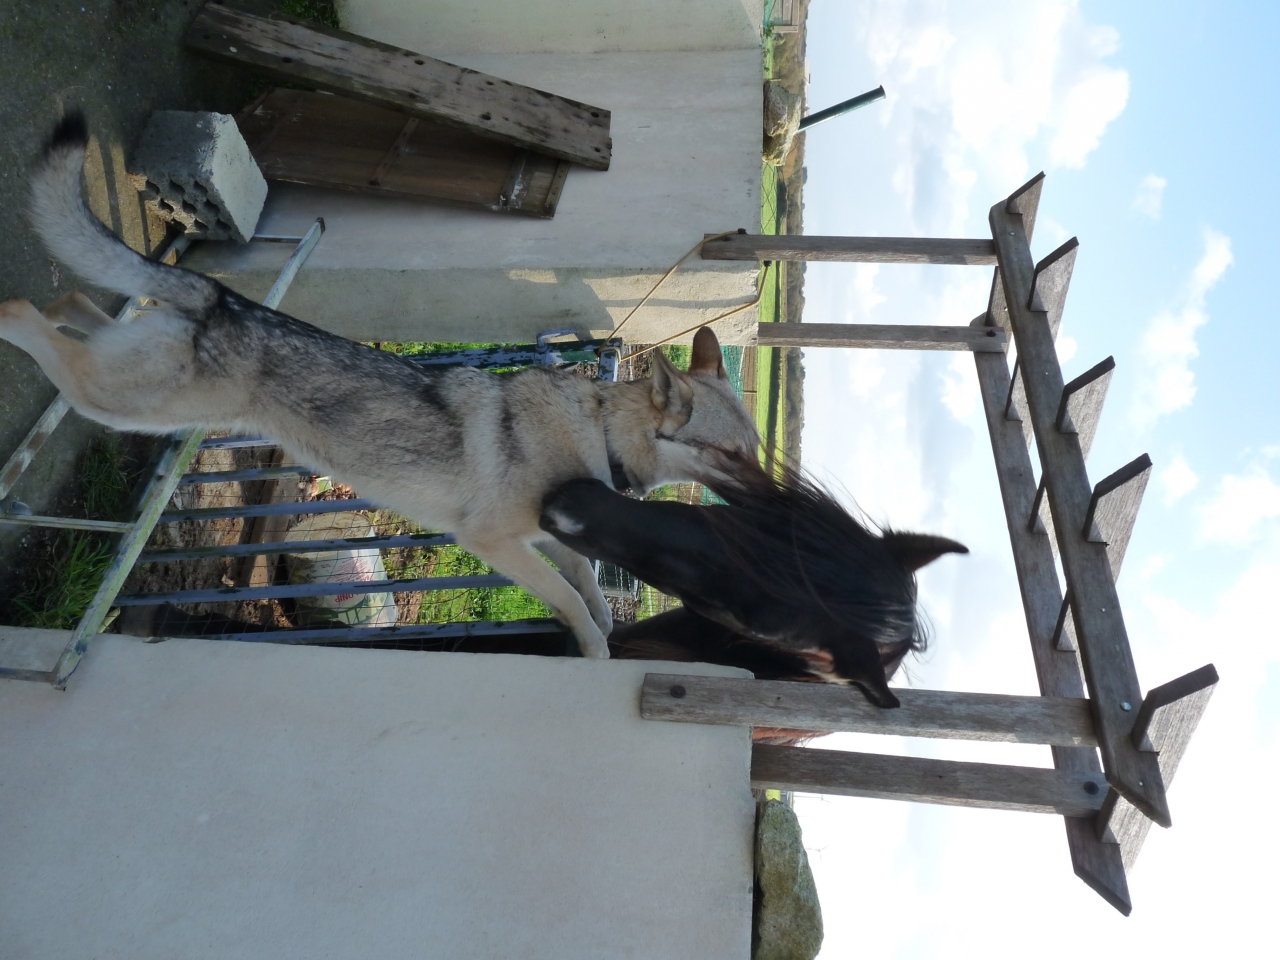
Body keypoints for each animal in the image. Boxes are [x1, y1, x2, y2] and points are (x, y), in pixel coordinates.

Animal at [0, 112, 761, 658]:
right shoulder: (495, 545)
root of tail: (221, 295)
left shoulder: (546, 541)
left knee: (74, 304)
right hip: (122, 401)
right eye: (732, 455)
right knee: (23, 311)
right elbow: (577, 605)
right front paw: (599, 658)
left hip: (125, 377)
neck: (596, 431)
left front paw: (603, 635)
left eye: (753, 450)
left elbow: (591, 594)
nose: (775, 506)